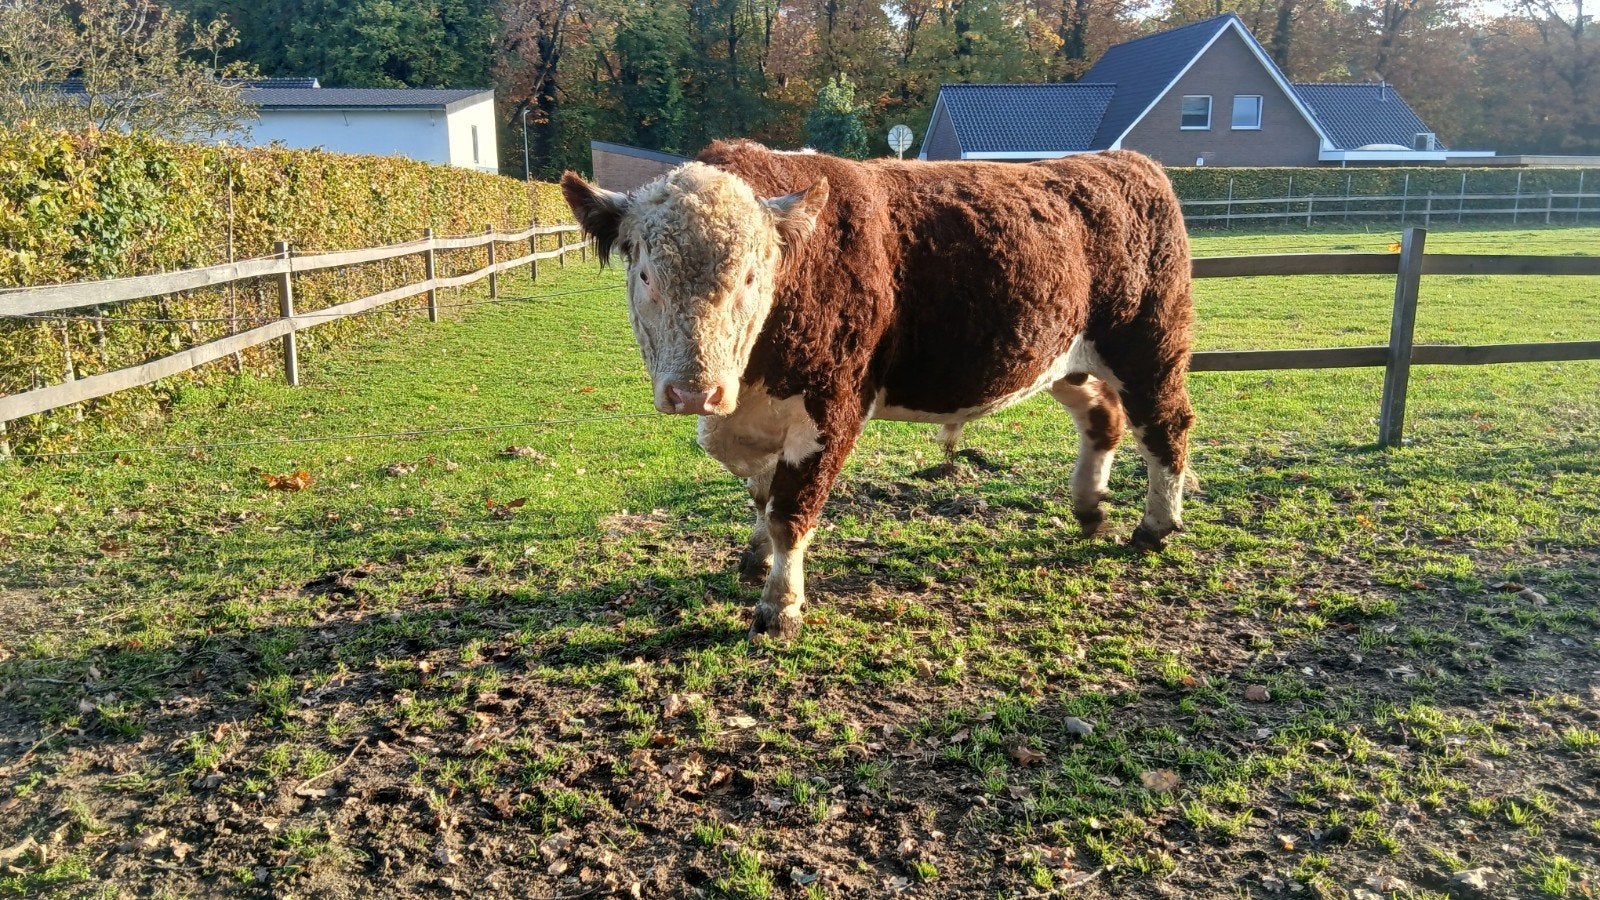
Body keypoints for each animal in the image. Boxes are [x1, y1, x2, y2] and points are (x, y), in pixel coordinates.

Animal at [561, 140, 1195, 641]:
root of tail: (1124, 162)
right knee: (1103, 418)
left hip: (1149, 346)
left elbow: (790, 510)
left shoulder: (832, 409)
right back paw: (1088, 507)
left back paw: (1154, 526)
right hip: (1065, 361)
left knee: (1165, 427)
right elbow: (763, 496)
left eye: (749, 276)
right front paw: (755, 557)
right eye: (646, 274)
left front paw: (780, 606)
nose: (696, 392)